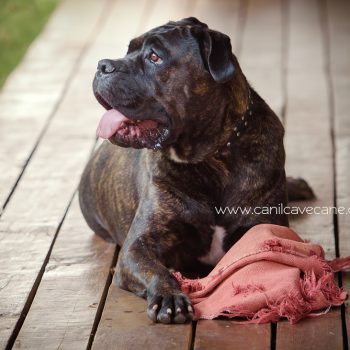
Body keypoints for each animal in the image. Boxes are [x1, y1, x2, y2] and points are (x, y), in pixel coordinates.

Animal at [79, 17, 314, 326]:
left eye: (154, 57)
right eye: (128, 50)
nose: (103, 65)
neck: (209, 158)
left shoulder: (261, 227)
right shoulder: (136, 248)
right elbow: (158, 270)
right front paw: (170, 297)